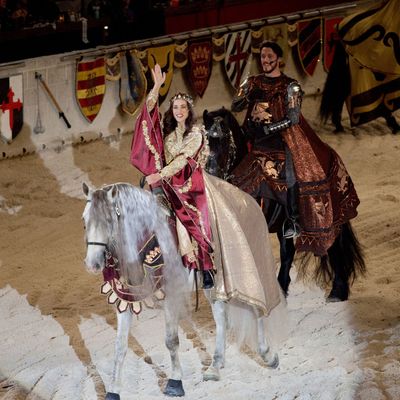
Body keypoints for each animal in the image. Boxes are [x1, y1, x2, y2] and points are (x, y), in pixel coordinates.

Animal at [82, 182, 280, 399]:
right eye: (84, 220)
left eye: (109, 220)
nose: (92, 264)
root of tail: (250, 201)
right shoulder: (125, 301)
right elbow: (120, 347)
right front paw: (113, 391)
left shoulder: (171, 295)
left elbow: (171, 340)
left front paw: (175, 382)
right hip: (215, 286)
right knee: (222, 319)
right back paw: (215, 365)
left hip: (246, 273)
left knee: (257, 308)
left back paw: (267, 355)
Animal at [203, 109, 366, 302]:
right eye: (204, 138)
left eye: (226, 138)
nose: (211, 173)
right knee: (290, 251)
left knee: (328, 245)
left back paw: (336, 291)